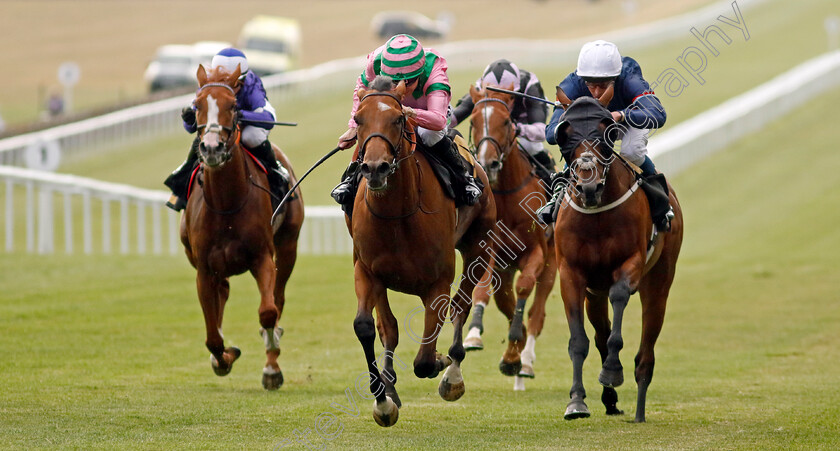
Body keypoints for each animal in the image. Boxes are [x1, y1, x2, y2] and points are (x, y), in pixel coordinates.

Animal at [180, 64, 306, 392]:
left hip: (288, 246)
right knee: (221, 294)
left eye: (234, 106)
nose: (211, 148)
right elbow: (212, 334)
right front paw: (222, 358)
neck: (227, 204)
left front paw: (272, 363)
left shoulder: (263, 257)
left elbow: (268, 311)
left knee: (278, 298)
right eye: (196, 106)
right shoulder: (203, 269)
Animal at [346, 77, 496, 428]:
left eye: (399, 119)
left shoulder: (437, 282)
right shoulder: (367, 269)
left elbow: (425, 360)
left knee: (462, 305)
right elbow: (367, 326)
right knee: (388, 326)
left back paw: (453, 372)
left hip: (478, 246)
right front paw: (383, 401)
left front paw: (441, 362)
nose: (375, 168)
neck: (398, 215)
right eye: (358, 119)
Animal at [462, 85, 556, 392]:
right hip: (503, 273)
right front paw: (474, 334)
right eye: (473, 120)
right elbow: (481, 289)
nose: (488, 163)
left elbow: (525, 288)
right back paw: (514, 359)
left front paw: (516, 351)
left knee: (536, 314)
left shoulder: (537, 253)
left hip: (553, 265)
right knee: (507, 304)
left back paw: (524, 362)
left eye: (506, 121)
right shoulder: (489, 253)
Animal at [552, 92, 684, 424]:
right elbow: (579, 341)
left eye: (605, 132)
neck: (597, 213)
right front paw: (577, 401)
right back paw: (610, 400)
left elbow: (620, 300)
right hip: (594, 293)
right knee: (600, 333)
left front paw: (612, 371)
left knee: (645, 352)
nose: (587, 184)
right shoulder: (571, 273)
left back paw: (638, 409)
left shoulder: (630, 264)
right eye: (565, 132)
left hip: (659, 282)